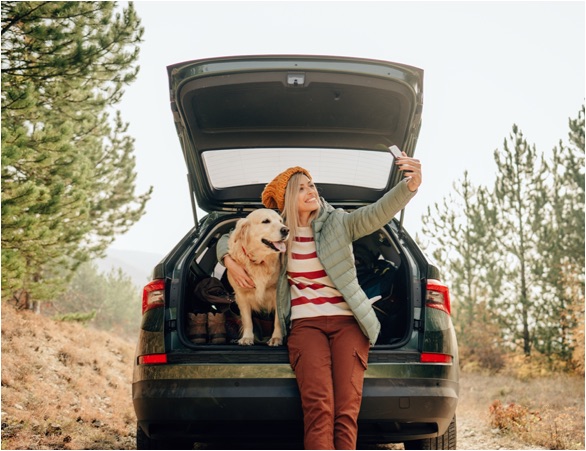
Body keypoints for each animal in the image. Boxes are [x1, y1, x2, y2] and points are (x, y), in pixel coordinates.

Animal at [225, 208, 288, 346]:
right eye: (266, 221)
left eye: (281, 221)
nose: (286, 230)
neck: (259, 262)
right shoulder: (241, 295)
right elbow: (247, 320)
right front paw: (247, 337)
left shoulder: (277, 293)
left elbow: (278, 320)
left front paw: (276, 338)